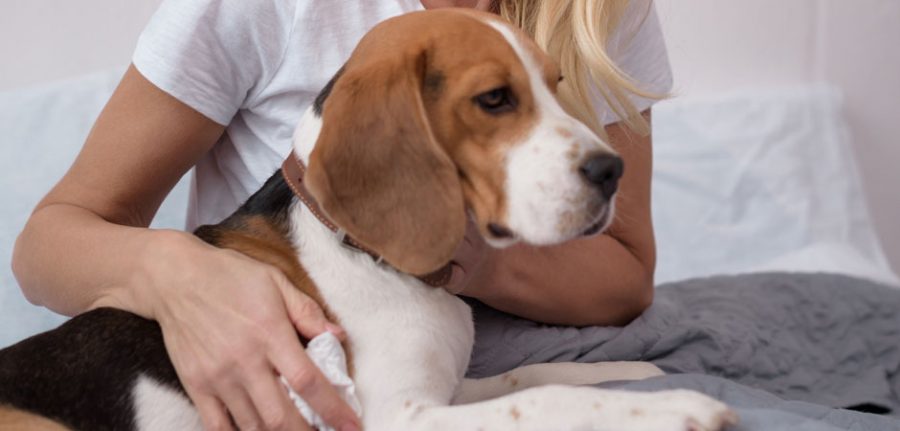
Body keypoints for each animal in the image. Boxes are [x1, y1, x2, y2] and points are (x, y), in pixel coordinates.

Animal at [0, 7, 736, 431]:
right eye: (495, 99)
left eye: (556, 86)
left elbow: (530, 378)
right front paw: (679, 408)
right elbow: (540, 401)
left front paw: (634, 375)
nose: (612, 171)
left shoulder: (443, 388)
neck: (361, 245)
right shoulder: (399, 417)